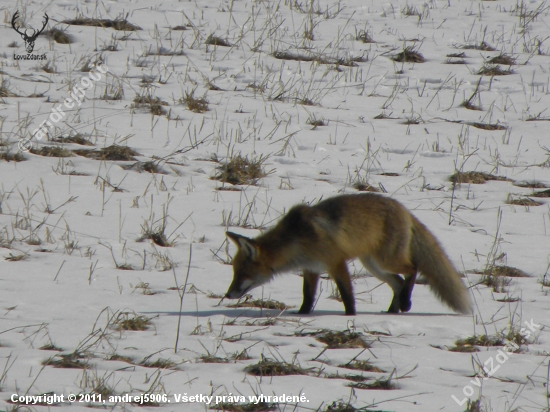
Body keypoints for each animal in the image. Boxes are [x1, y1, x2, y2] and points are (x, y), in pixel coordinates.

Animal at [224, 193, 474, 316]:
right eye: (234, 272)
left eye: (242, 273)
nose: (227, 295)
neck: (297, 238)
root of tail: (403, 208)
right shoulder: (311, 268)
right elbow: (308, 296)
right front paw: (302, 315)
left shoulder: (336, 262)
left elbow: (346, 295)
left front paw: (350, 318)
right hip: (374, 266)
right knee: (398, 282)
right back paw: (392, 311)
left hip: (386, 260)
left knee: (412, 270)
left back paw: (405, 303)